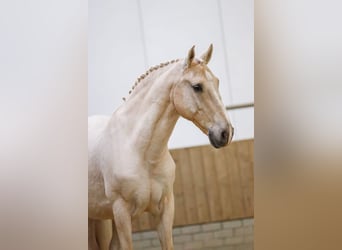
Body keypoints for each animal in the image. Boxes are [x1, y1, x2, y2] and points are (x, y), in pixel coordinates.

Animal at [87, 44, 235, 249]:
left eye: (217, 82)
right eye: (197, 87)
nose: (226, 133)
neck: (140, 151)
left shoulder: (165, 210)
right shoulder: (121, 212)